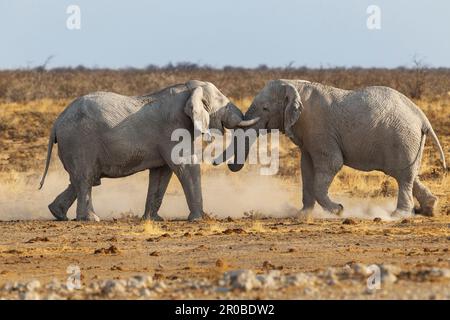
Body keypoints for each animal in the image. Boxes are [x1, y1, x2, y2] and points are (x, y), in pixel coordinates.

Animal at [40, 80, 258, 221]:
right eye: (223, 103)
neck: (188, 89)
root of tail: (57, 122)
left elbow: (162, 173)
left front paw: (153, 220)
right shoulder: (172, 128)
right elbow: (185, 166)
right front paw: (199, 219)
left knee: (81, 179)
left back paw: (57, 213)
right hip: (80, 141)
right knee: (85, 178)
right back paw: (91, 219)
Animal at [215, 79, 446, 216]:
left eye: (265, 109)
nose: (220, 164)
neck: (295, 85)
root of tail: (422, 117)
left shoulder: (319, 128)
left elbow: (331, 164)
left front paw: (338, 210)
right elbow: (306, 168)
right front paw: (302, 215)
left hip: (403, 137)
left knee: (403, 176)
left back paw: (397, 215)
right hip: (409, 141)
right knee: (408, 173)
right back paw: (429, 208)